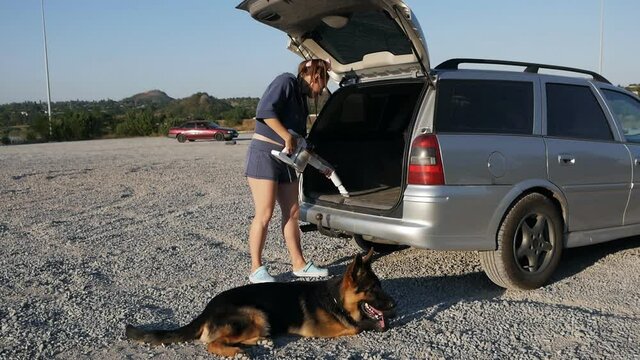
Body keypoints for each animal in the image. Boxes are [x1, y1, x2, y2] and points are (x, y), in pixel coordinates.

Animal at [124, 250, 396, 358]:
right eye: (373, 289)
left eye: (381, 285)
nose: (394, 304)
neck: (336, 299)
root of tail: (208, 308)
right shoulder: (325, 329)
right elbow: (356, 326)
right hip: (254, 313)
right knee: (211, 343)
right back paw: (236, 353)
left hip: (260, 320)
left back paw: (261, 341)